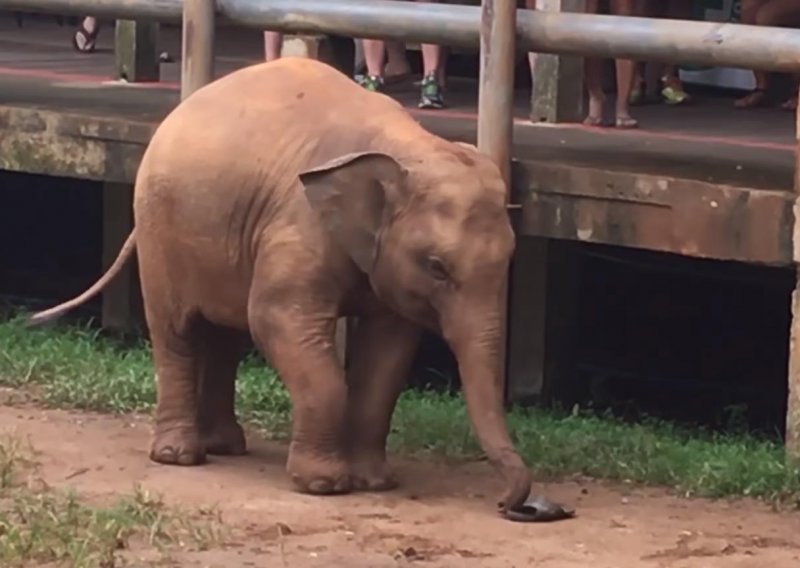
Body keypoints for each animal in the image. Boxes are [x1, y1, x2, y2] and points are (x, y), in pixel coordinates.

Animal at [31, 58, 568, 524]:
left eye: (509, 260)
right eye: (437, 267)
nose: (518, 505)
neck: (406, 146)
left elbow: (389, 350)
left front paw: (375, 483)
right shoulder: (298, 224)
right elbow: (277, 320)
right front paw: (324, 486)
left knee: (226, 336)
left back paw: (226, 447)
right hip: (159, 225)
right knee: (177, 331)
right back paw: (180, 456)